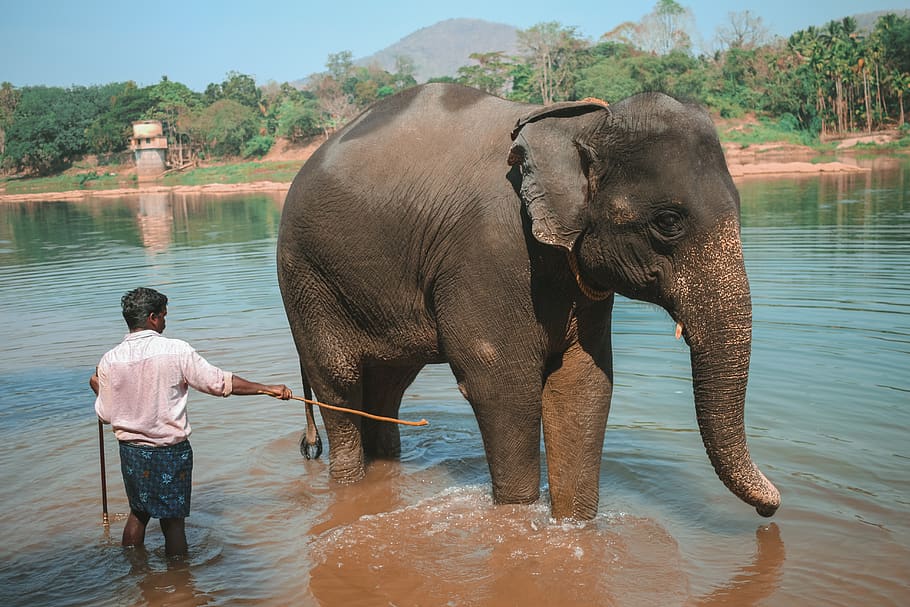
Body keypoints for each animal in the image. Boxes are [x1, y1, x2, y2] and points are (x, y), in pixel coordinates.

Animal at [277, 82, 780, 520]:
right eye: (669, 222)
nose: (770, 508)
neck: (583, 124)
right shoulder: (490, 252)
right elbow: (502, 387)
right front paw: (518, 520)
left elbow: (584, 384)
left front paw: (573, 527)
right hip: (307, 280)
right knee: (339, 381)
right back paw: (348, 478)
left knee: (388, 387)